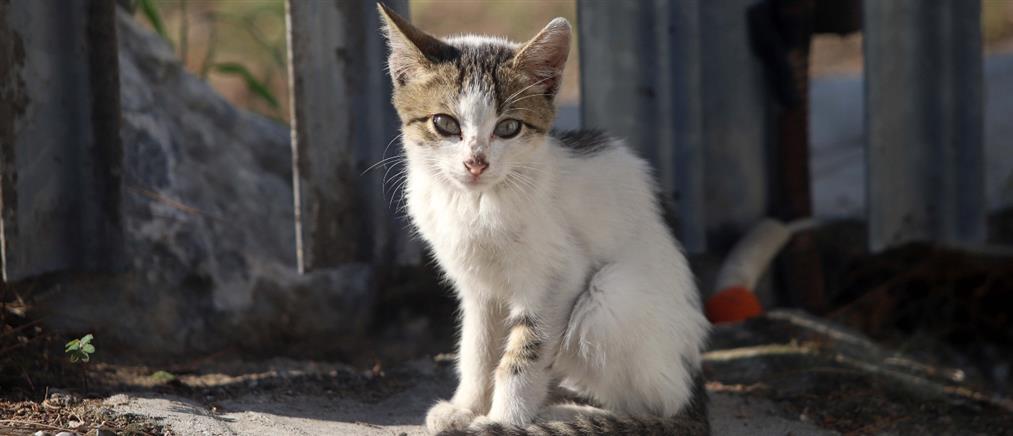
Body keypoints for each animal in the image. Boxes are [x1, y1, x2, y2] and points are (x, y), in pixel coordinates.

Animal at [378, 4, 713, 435]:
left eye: (508, 127)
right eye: (445, 123)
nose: (475, 162)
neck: (476, 203)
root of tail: (695, 387)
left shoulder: (557, 279)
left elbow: (524, 354)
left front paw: (505, 420)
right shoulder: (477, 286)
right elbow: (476, 348)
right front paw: (466, 406)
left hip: (609, 298)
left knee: (655, 404)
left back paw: (570, 414)